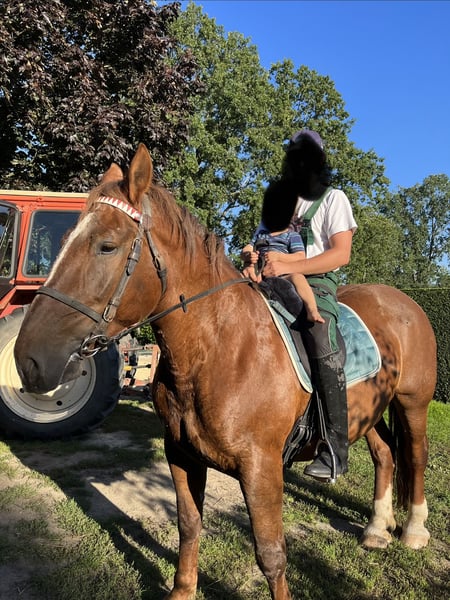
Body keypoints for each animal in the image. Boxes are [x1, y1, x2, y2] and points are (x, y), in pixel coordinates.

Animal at [14, 144, 437, 600]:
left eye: (106, 246)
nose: (28, 359)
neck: (218, 350)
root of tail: (402, 300)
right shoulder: (180, 454)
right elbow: (188, 525)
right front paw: (182, 591)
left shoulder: (261, 468)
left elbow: (271, 554)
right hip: (370, 411)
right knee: (384, 454)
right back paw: (376, 528)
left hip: (413, 403)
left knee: (415, 455)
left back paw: (413, 530)